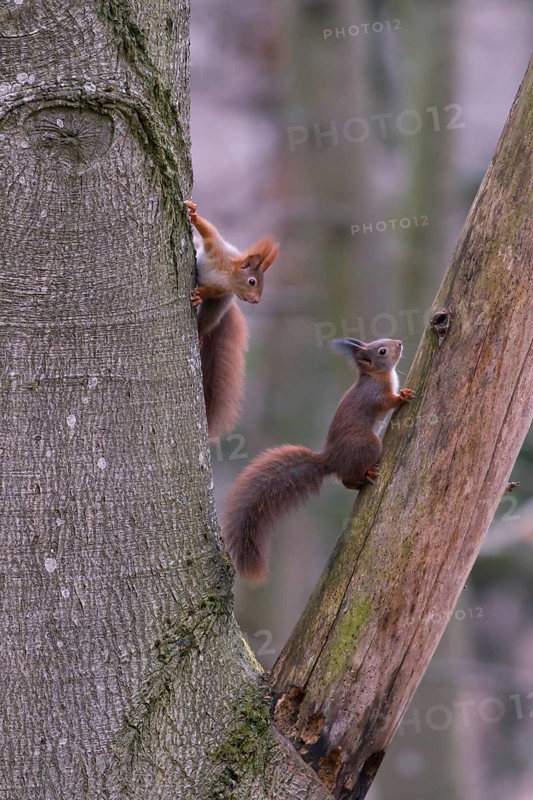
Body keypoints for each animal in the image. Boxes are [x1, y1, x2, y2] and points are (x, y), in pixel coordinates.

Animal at [186, 200, 279, 439]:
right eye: (252, 281)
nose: (256, 301)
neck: (226, 275)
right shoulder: (218, 249)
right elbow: (209, 233)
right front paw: (193, 213)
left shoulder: (220, 290)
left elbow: (208, 291)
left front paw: (199, 295)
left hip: (219, 306)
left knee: (208, 320)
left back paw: (201, 334)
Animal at [223, 337, 415, 583]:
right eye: (382, 351)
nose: (399, 343)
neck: (377, 375)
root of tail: (330, 459)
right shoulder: (376, 396)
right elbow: (387, 401)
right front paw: (403, 396)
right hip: (369, 445)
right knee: (347, 478)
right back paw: (366, 476)